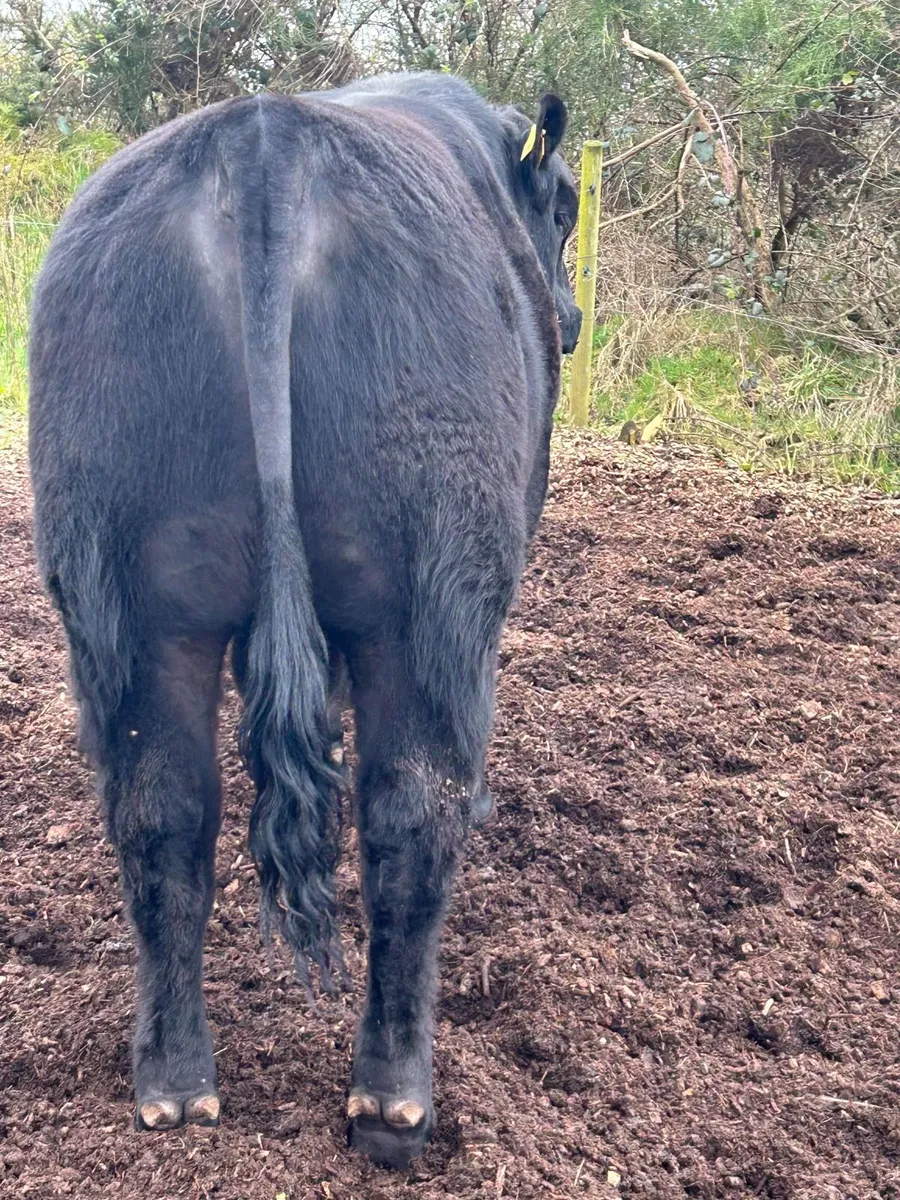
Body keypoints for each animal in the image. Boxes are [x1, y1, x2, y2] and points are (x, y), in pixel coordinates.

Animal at [28, 71, 581, 1168]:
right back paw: (392, 1104)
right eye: (567, 212)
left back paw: (175, 1085)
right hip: (432, 591)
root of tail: (264, 139)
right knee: (410, 812)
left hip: (123, 600)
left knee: (162, 812)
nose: (575, 315)